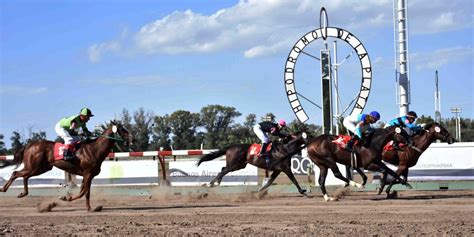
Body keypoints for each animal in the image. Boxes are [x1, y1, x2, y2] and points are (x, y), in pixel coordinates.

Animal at [0, 120, 131, 211]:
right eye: (122, 129)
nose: (131, 138)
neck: (95, 149)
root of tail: (29, 145)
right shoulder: (88, 174)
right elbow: (85, 192)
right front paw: (89, 208)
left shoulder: (87, 175)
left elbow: (83, 191)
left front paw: (67, 198)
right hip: (35, 167)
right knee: (16, 173)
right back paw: (3, 189)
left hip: (41, 168)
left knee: (24, 176)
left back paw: (22, 193)